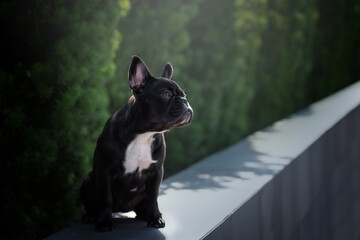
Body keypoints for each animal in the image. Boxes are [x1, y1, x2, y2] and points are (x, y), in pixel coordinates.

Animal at [80, 55, 193, 231]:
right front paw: (104, 222)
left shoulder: (156, 171)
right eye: (166, 93)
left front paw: (154, 218)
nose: (185, 102)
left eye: (184, 95)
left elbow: (153, 197)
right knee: (92, 204)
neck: (143, 135)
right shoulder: (105, 171)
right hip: (87, 181)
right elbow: (106, 198)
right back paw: (91, 216)